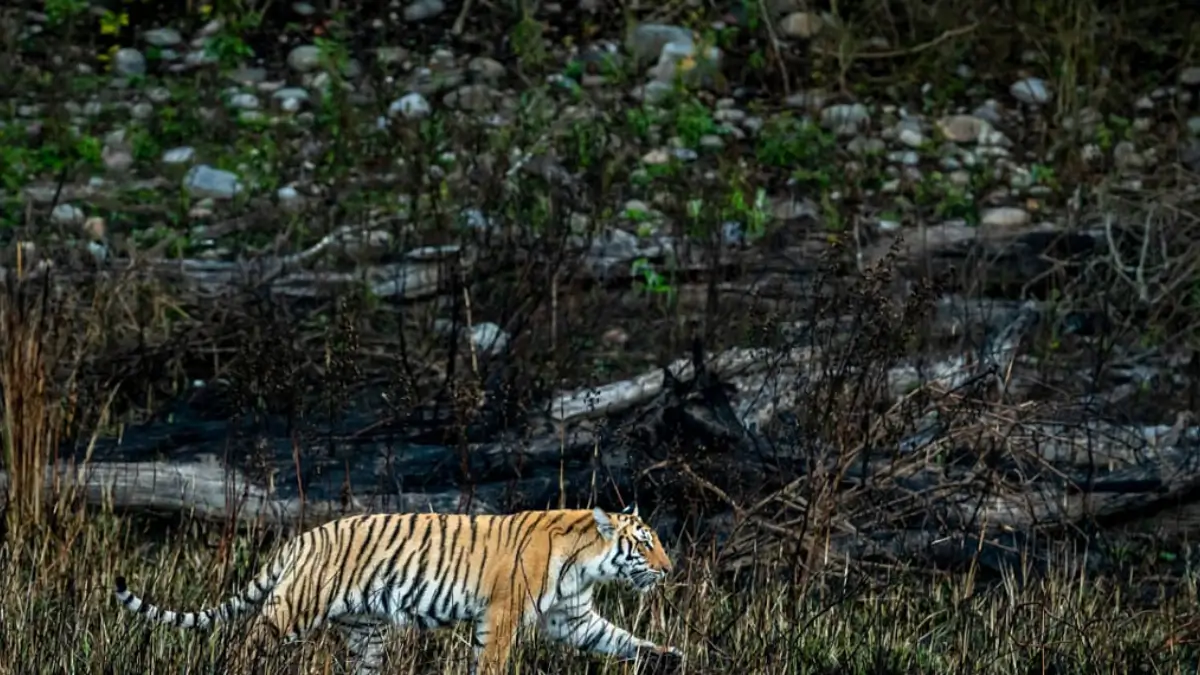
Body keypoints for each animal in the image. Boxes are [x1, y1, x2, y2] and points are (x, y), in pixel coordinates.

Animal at [112, 503, 682, 675]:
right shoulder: (501, 614)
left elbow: (618, 637)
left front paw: (665, 656)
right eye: (646, 543)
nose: (670, 567)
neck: (586, 564)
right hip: (293, 607)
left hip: (367, 631)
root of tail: (303, 537)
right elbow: (492, 662)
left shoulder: (573, 617)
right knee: (244, 646)